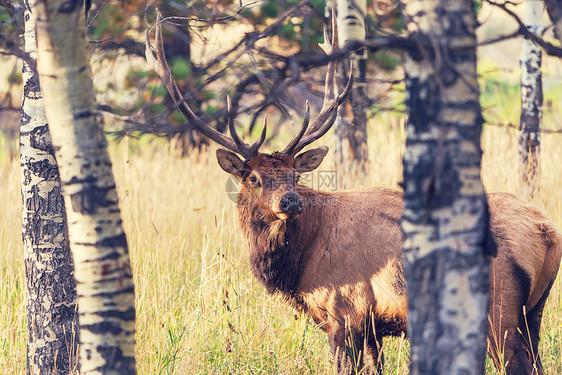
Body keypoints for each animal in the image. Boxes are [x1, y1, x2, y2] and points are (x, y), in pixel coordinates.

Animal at [147, 16, 556, 374]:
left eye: (295, 175)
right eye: (253, 177)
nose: (291, 201)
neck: (298, 265)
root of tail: (547, 232)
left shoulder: (344, 313)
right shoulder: (373, 326)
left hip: (499, 309)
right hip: (533, 311)